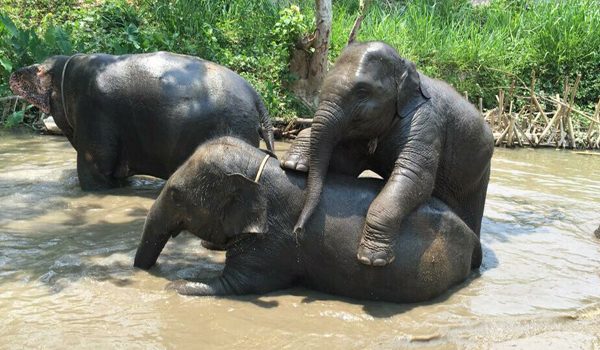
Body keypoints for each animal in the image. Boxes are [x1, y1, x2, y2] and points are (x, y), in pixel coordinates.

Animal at [9, 50, 274, 190]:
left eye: (37, 69)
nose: (13, 74)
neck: (66, 67)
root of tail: (256, 97)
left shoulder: (93, 115)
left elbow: (94, 174)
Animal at [134, 137, 480, 304]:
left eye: (176, 195)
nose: (143, 274)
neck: (260, 166)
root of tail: (474, 238)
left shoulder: (275, 240)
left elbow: (242, 283)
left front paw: (176, 286)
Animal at [282, 40, 492, 266]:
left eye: (362, 91)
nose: (297, 231)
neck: (404, 65)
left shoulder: (427, 122)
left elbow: (415, 178)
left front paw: (372, 260)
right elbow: (346, 164)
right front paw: (293, 164)